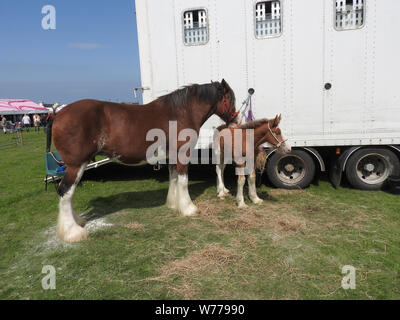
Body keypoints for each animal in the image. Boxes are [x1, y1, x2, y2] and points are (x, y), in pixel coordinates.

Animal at [49, 80, 238, 242]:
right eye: (230, 98)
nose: (236, 122)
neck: (181, 112)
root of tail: (58, 114)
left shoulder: (171, 156)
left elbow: (174, 179)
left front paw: (173, 204)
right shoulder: (182, 154)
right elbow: (183, 181)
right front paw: (189, 209)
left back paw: (77, 222)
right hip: (76, 165)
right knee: (65, 191)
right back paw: (72, 232)